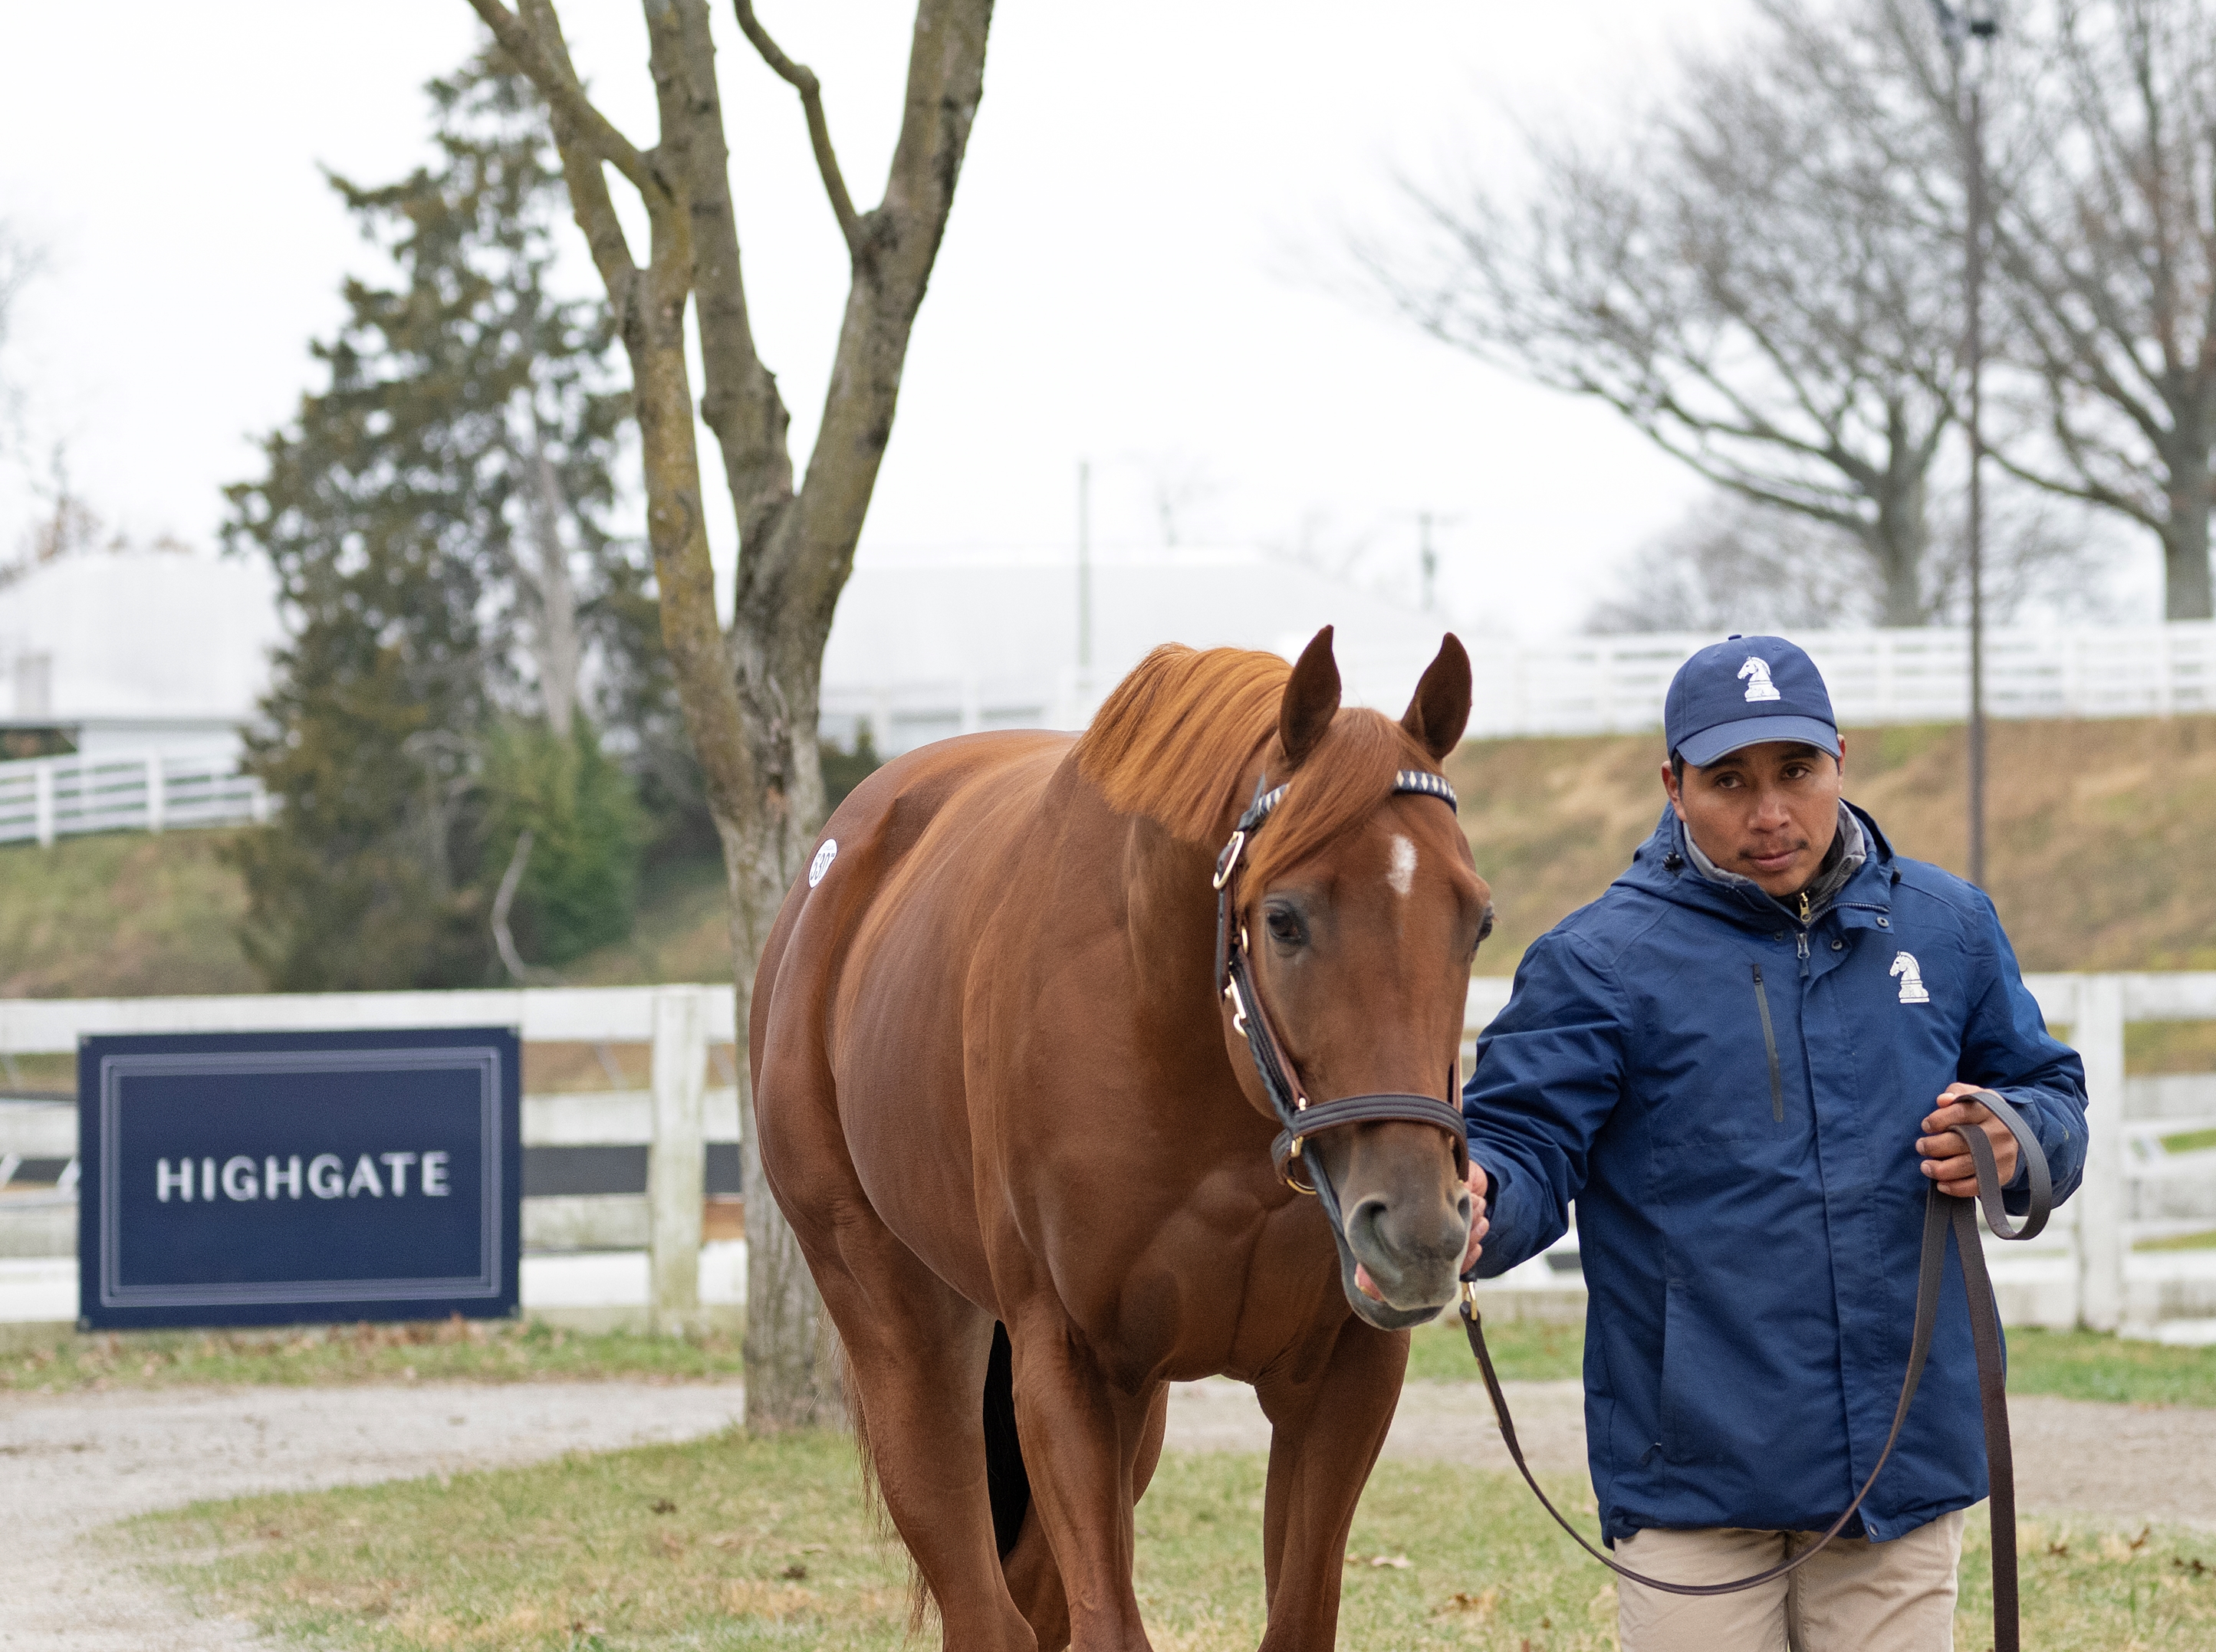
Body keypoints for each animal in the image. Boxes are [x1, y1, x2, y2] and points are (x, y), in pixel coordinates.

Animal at [753, 624, 1498, 1638]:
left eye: (1477, 921)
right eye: (1283, 918)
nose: (1420, 1230)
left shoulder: (1341, 1378)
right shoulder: (1065, 1373)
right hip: (899, 1327)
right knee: (984, 1611)